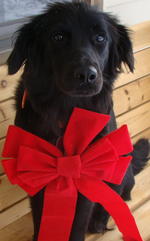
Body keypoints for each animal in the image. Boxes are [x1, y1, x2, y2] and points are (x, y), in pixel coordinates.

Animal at [6, 1, 149, 241]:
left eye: (100, 38)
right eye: (58, 37)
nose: (86, 76)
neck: (65, 112)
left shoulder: (88, 178)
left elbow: (78, 222)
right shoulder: (37, 174)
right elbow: (40, 218)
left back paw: (99, 222)